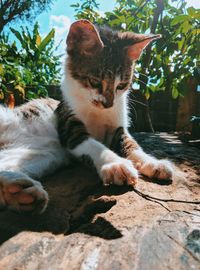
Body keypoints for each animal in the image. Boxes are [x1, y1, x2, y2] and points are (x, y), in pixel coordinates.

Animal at [0, 19, 173, 213]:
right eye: (94, 82)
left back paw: (18, 193)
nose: (108, 104)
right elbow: (92, 144)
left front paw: (153, 162)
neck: (97, 111)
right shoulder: (68, 122)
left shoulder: (117, 127)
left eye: (121, 85)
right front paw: (116, 165)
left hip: (43, 153)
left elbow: (131, 144)